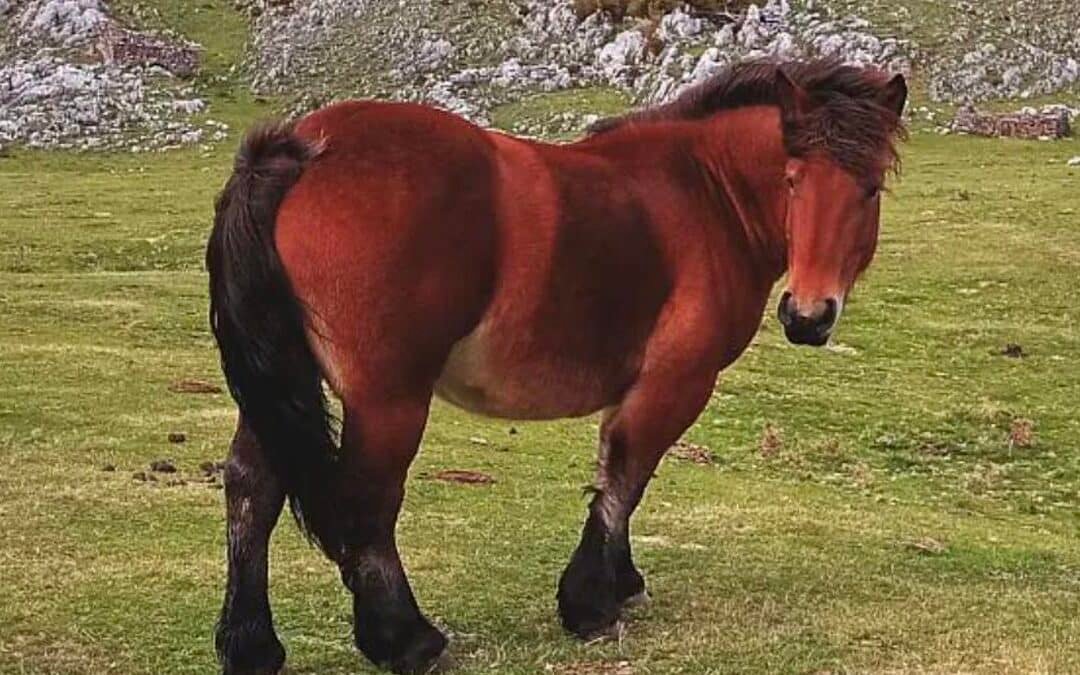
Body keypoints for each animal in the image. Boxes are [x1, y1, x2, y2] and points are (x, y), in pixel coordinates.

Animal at [207, 58, 907, 675]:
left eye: (869, 189)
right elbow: (625, 479)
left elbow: (617, 477)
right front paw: (590, 603)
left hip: (282, 386)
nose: (808, 316)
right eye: (792, 181)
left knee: (251, 488)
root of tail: (303, 149)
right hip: (388, 401)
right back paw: (406, 640)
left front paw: (620, 582)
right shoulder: (675, 384)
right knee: (367, 504)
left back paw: (251, 645)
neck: (703, 193)